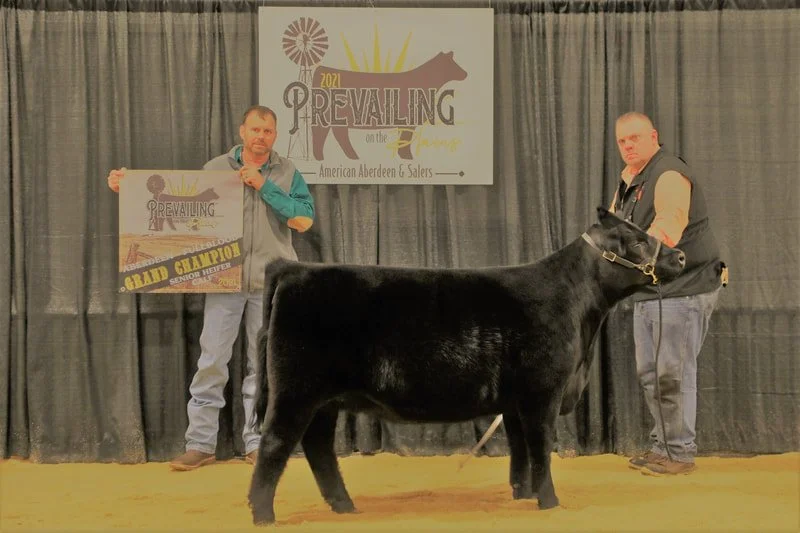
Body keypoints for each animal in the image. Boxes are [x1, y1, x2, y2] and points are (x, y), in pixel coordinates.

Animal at [247, 207, 686, 525]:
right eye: (637, 241)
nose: (680, 255)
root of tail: (293, 268)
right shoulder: (542, 391)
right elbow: (541, 446)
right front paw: (548, 501)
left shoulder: (515, 401)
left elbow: (520, 449)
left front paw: (522, 494)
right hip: (296, 391)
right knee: (275, 445)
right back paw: (263, 514)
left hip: (324, 400)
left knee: (318, 447)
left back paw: (343, 505)